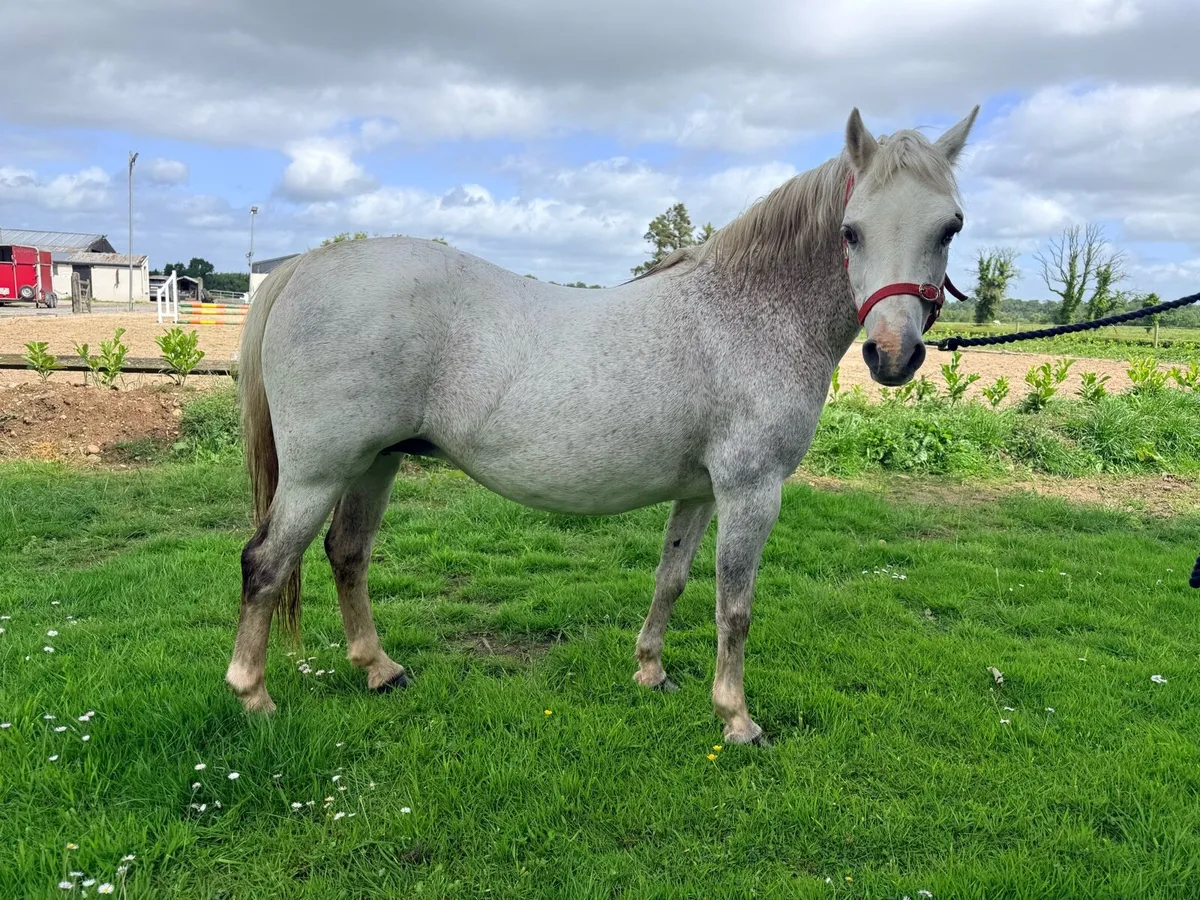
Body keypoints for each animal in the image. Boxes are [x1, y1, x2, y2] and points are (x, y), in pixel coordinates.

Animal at [226, 105, 980, 744]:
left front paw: (651, 671)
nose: (892, 355)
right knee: (266, 562)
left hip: (375, 462)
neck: (747, 312)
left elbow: (671, 578)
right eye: (852, 230)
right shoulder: (752, 492)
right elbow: (733, 605)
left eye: (950, 227)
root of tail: (307, 265)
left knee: (347, 553)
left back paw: (380, 671)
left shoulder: (701, 492)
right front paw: (737, 719)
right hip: (318, 472)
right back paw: (254, 698)